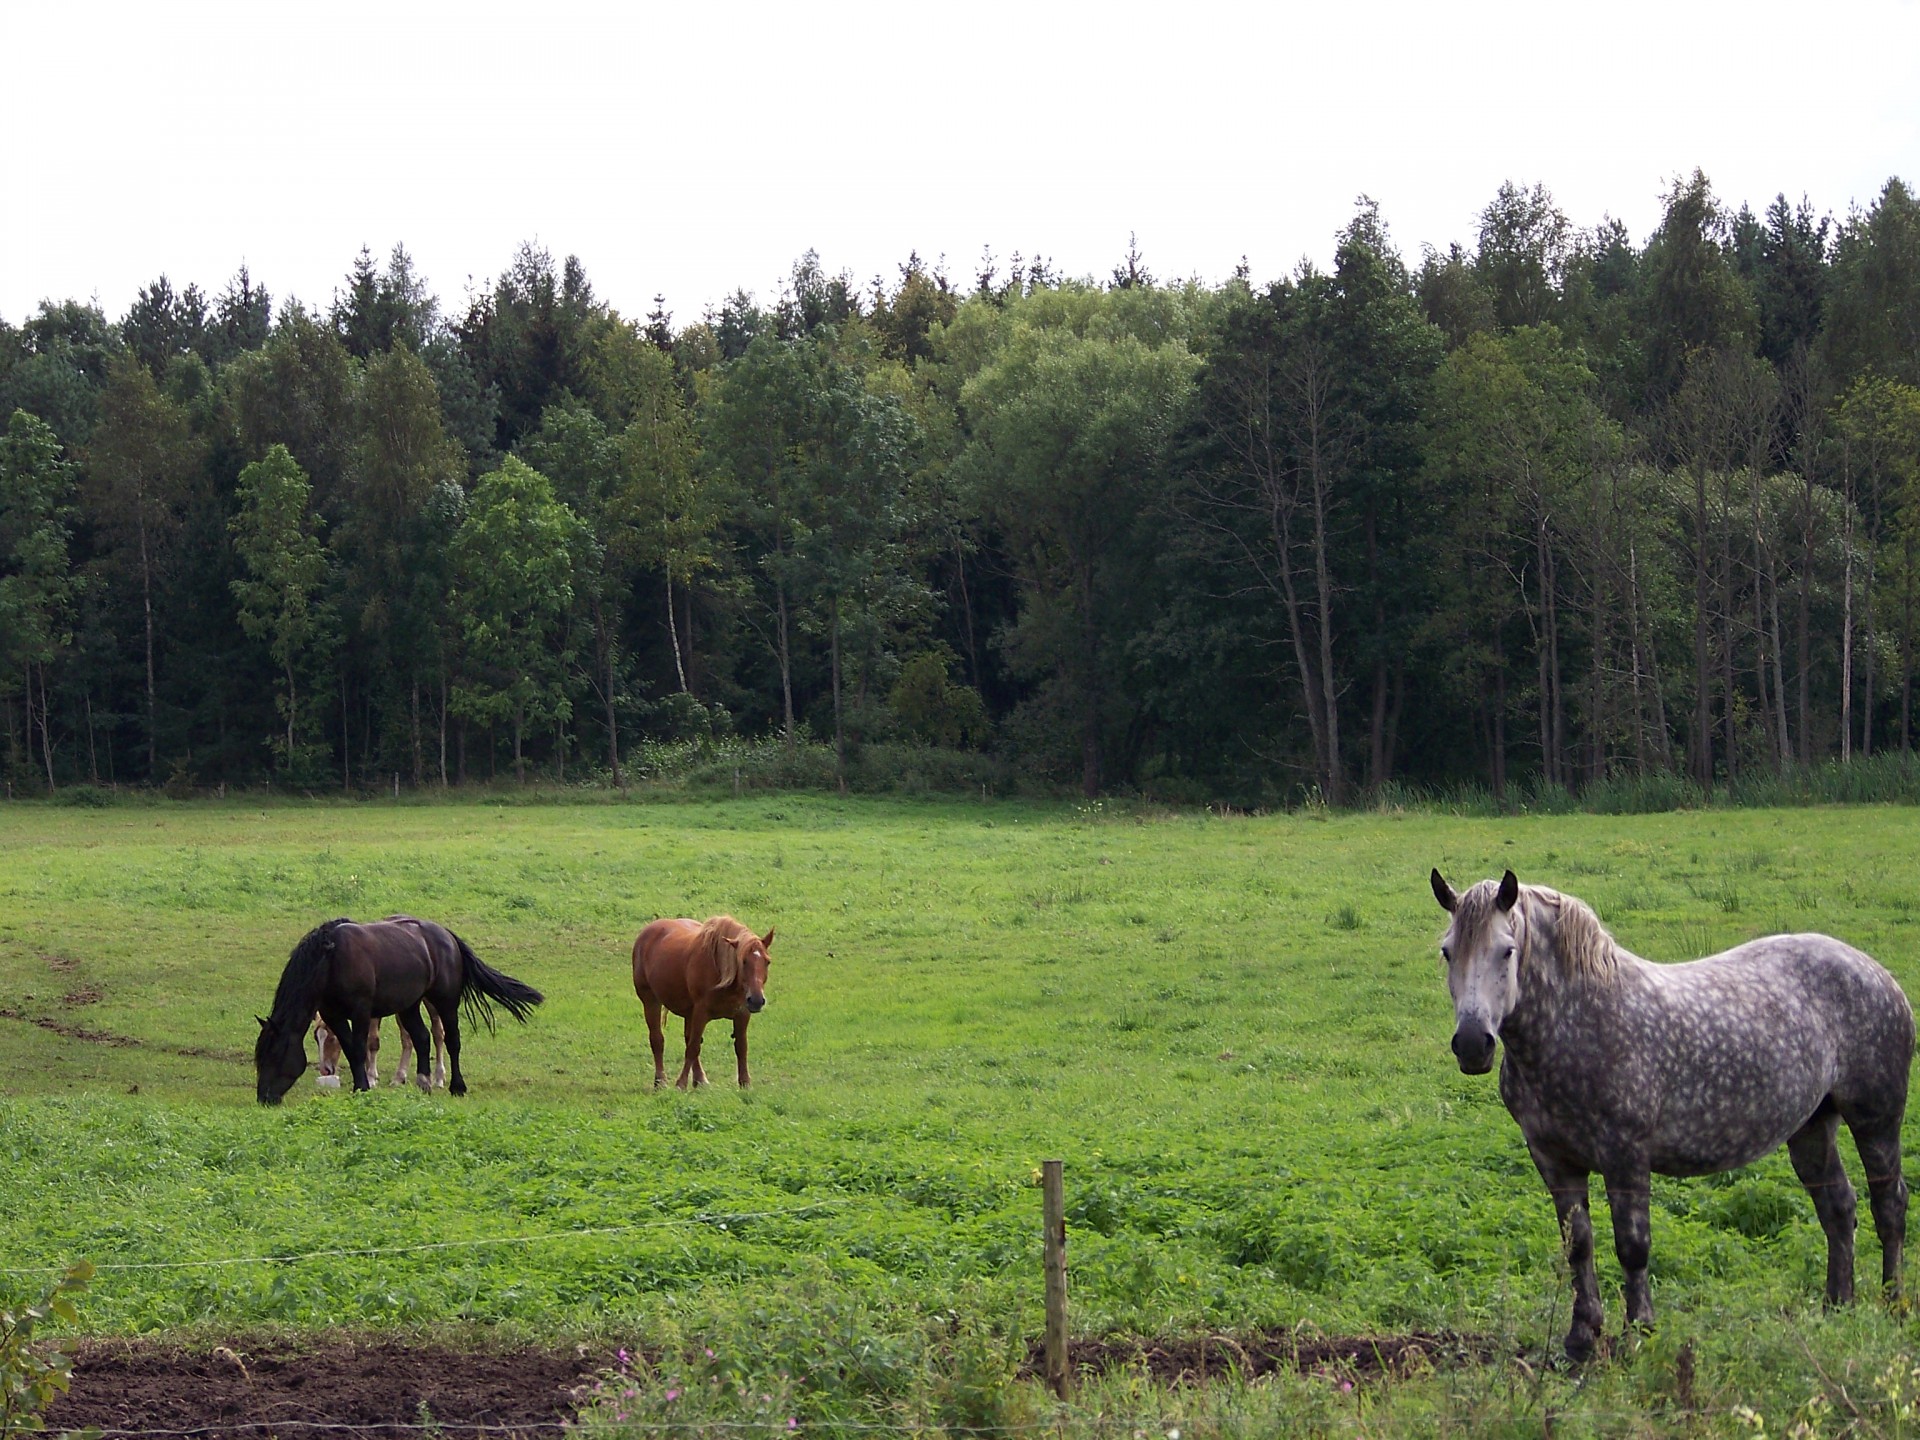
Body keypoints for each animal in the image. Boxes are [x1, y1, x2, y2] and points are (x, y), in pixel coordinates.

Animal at [255, 913, 541, 1105]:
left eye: (274, 1055)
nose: (264, 1097)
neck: (331, 959)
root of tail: (448, 936)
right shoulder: (333, 1015)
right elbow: (351, 1049)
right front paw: (363, 1084)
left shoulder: (361, 1011)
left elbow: (358, 1049)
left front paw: (363, 1086)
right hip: (409, 1005)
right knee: (422, 1038)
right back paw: (423, 1082)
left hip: (444, 1002)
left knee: (451, 1040)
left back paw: (455, 1086)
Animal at [633, 917, 775, 1090]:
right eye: (743, 961)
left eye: (767, 962)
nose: (756, 1000)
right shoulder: (701, 1013)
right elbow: (693, 1047)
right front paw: (681, 1083)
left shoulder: (742, 1014)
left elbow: (741, 1047)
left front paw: (745, 1083)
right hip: (650, 1001)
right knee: (657, 1040)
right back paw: (661, 1081)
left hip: (689, 1013)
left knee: (687, 1038)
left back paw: (700, 1079)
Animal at [1428, 867, 1904, 1367]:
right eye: (1448, 951)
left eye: (1507, 950)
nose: (1473, 1043)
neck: (1579, 1020)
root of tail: (1876, 973)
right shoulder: (1553, 1159)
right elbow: (1578, 1245)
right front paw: (1581, 1339)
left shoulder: (1625, 1156)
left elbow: (1632, 1247)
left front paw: (1639, 1333)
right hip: (1812, 1127)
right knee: (1839, 1209)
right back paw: (1837, 1306)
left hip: (1877, 1121)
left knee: (1889, 1206)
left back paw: (1893, 1305)